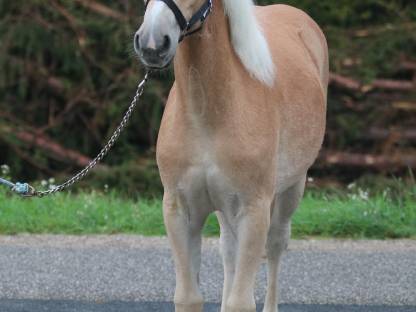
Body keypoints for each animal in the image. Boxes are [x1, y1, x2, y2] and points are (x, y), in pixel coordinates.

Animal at [134, 0, 328, 310]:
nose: (152, 43)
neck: (209, 116)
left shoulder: (253, 210)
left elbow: (241, 301)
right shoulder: (179, 210)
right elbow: (188, 297)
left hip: (292, 188)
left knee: (275, 244)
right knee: (229, 249)